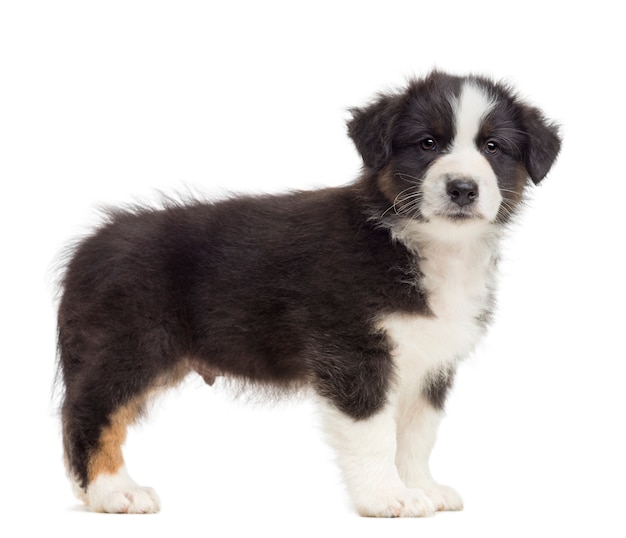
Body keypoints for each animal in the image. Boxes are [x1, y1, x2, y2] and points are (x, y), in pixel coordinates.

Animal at [56, 71, 560, 516]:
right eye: (427, 144)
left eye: (493, 147)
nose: (462, 188)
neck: (423, 244)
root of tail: (89, 247)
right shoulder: (352, 350)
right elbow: (374, 431)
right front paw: (387, 498)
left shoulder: (431, 362)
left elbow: (418, 432)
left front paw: (422, 487)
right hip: (131, 344)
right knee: (90, 412)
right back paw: (114, 492)